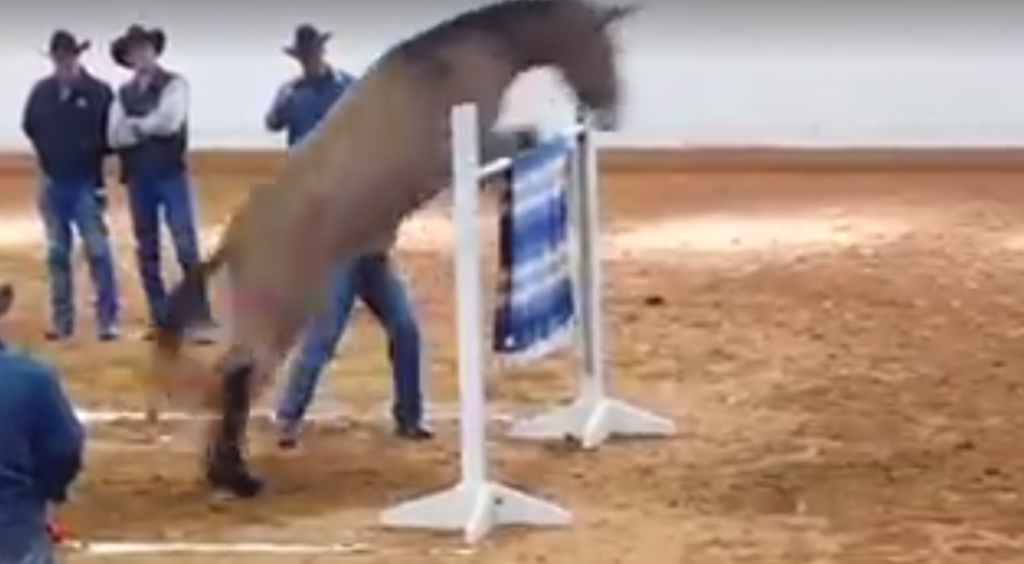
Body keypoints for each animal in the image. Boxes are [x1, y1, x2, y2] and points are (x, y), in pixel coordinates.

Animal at [152, 0, 639, 499]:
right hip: (282, 313)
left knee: (232, 378)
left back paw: (222, 473)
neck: (458, 57)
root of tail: (235, 241)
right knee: (239, 376)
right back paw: (239, 478)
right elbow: (523, 138)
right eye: (607, 47)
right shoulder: (472, 143)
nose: (611, 115)